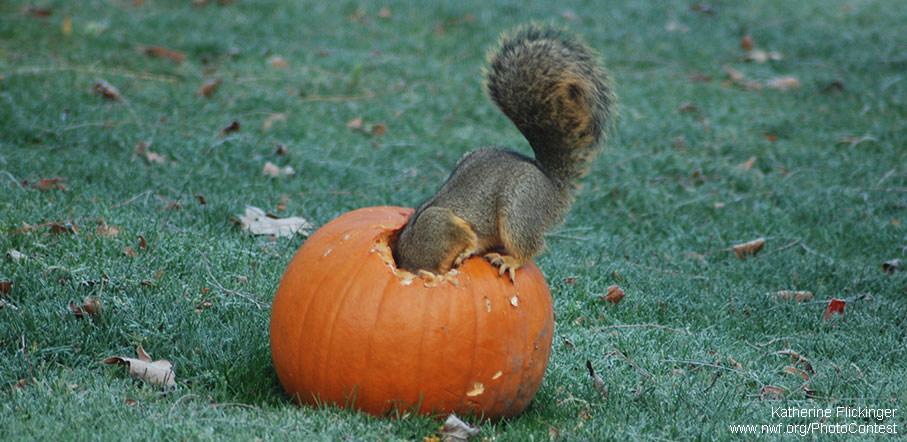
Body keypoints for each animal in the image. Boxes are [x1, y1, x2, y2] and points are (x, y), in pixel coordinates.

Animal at [392, 25, 616, 280]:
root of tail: (552, 184)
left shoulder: (438, 224)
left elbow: (467, 236)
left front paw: (467, 250)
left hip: (518, 204)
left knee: (531, 245)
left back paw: (510, 260)